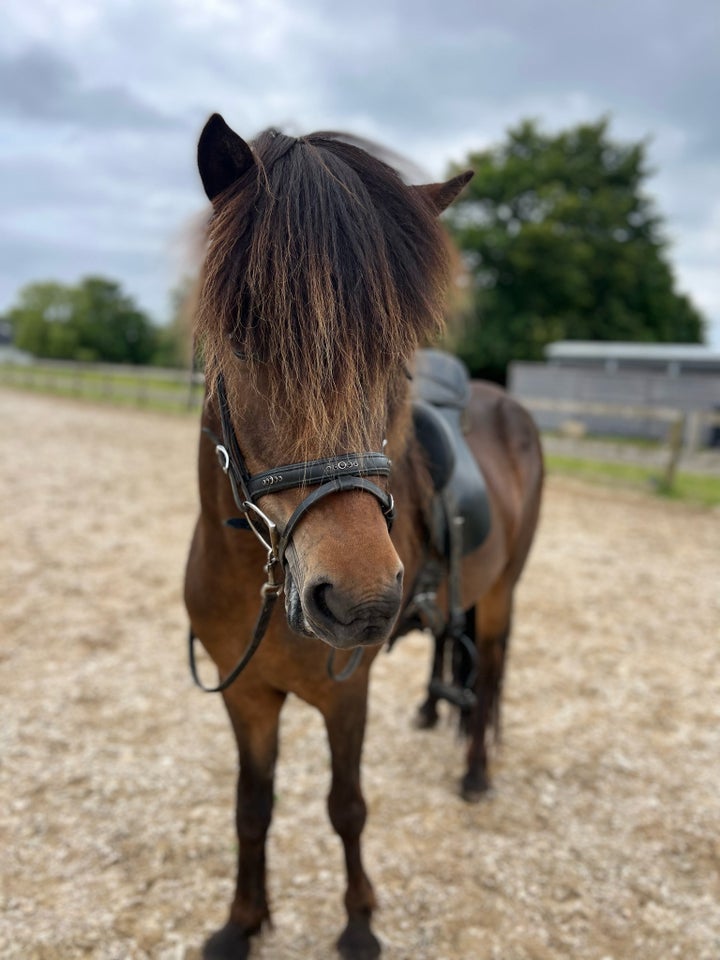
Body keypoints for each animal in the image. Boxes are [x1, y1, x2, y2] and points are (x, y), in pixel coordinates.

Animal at [183, 118, 544, 960]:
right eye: (244, 339)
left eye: (394, 360)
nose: (360, 601)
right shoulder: (245, 694)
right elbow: (252, 807)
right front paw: (241, 924)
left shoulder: (346, 694)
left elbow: (346, 806)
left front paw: (358, 926)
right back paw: (432, 711)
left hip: (504, 593)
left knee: (491, 674)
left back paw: (475, 773)